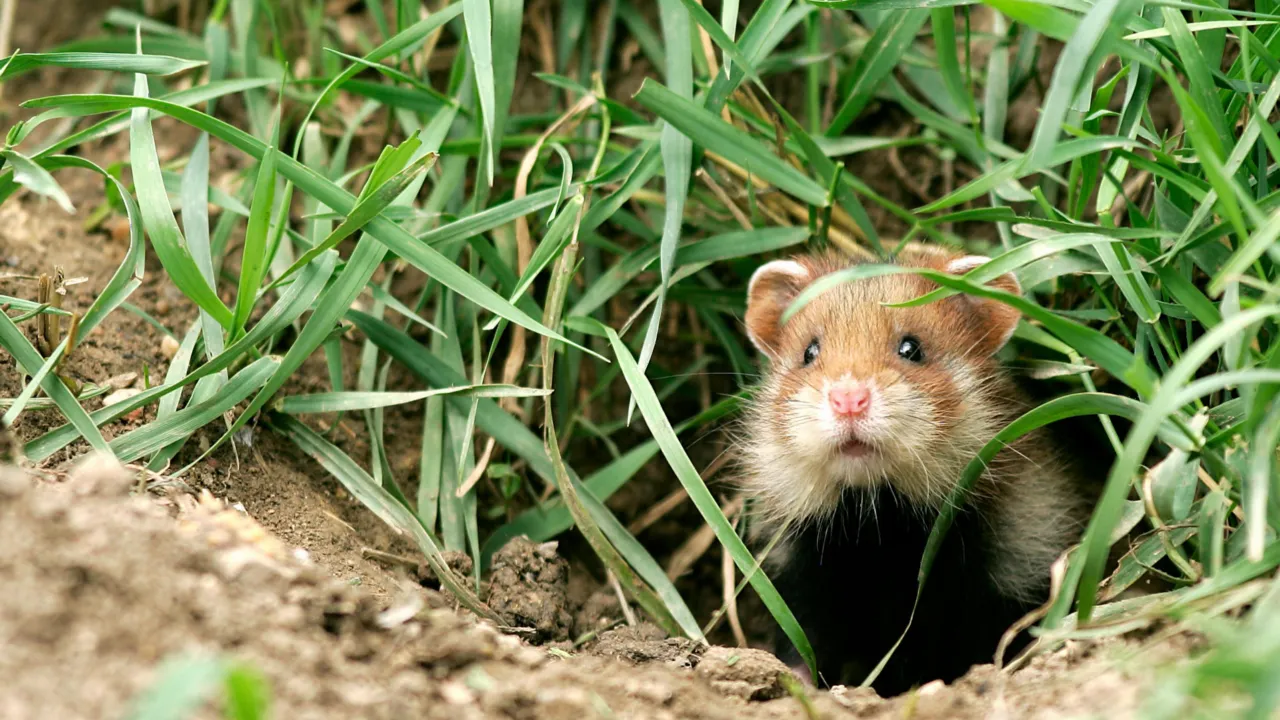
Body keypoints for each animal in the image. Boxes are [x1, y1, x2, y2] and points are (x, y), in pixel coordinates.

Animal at [738, 245, 1092, 696]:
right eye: (809, 352)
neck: (881, 535)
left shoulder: (1017, 557)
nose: (848, 399)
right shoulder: (801, 569)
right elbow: (803, 638)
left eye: (912, 348)